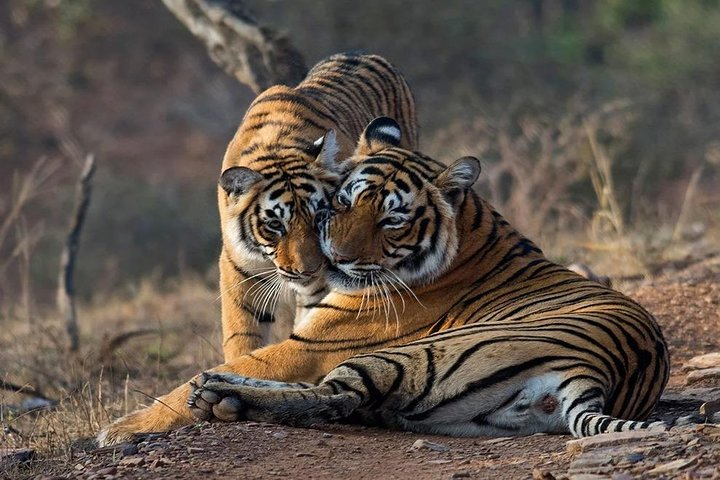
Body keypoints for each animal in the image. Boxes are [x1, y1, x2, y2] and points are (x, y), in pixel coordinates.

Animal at [211, 53, 420, 360]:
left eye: (319, 216)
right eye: (275, 225)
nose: (307, 271)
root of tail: (361, 53)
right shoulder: (239, 269)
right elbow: (242, 335)